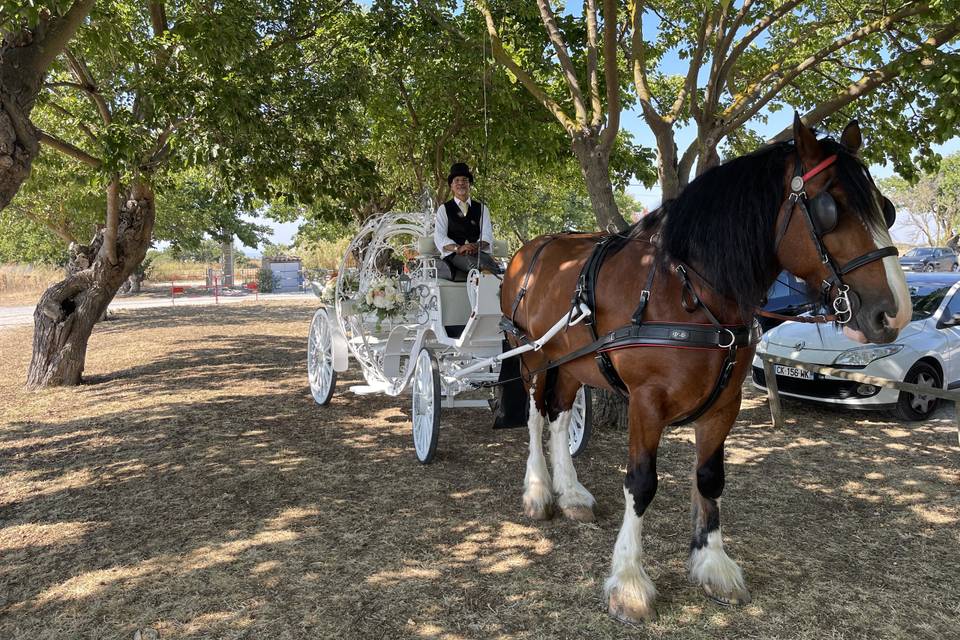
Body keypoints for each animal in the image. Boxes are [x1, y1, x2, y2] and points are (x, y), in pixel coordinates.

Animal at [498, 117, 912, 624]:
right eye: (830, 207)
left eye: (885, 208)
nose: (894, 312)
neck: (688, 289)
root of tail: (530, 250)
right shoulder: (645, 403)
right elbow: (641, 483)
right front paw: (629, 581)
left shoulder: (724, 403)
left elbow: (710, 478)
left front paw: (712, 562)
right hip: (533, 358)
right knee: (536, 418)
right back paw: (539, 491)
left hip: (572, 365)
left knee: (558, 419)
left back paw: (571, 493)